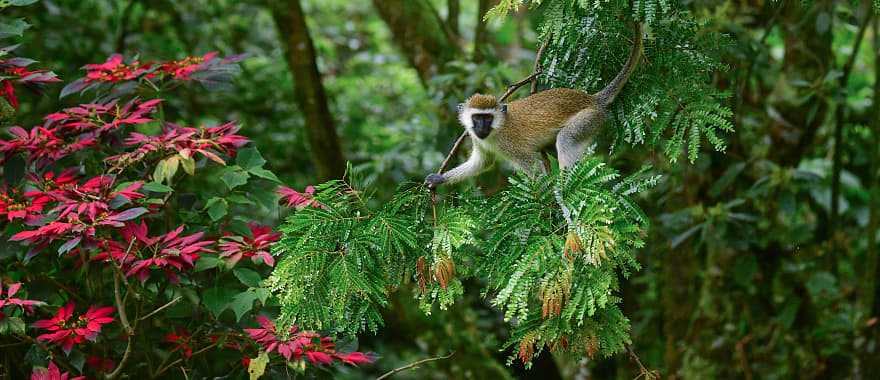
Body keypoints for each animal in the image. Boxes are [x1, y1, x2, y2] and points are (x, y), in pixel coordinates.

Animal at [422, 23, 644, 189]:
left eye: (487, 118)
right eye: (477, 118)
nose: (481, 127)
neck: (496, 131)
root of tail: (591, 99)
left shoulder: (510, 145)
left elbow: (536, 169)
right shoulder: (477, 139)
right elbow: (482, 163)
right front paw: (439, 179)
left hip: (590, 118)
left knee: (566, 139)